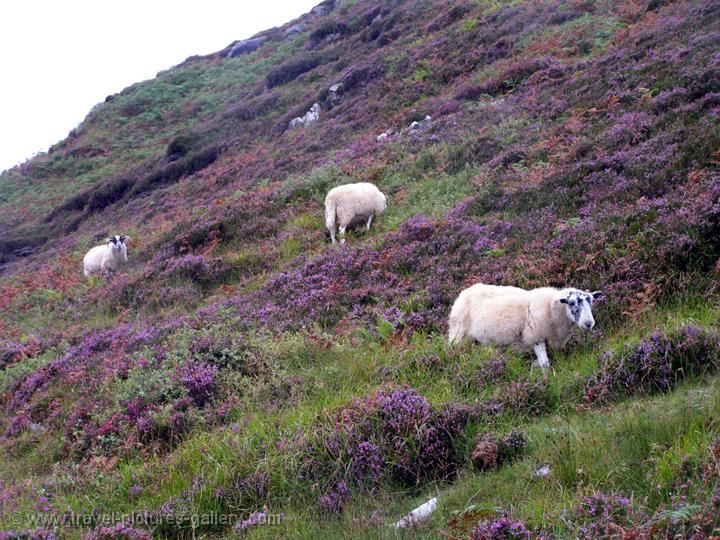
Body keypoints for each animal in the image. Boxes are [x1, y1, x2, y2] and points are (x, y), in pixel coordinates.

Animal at [448, 282, 604, 372]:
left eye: (591, 301)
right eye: (571, 303)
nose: (589, 323)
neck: (551, 309)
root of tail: (463, 293)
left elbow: (539, 362)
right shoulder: (535, 336)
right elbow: (545, 363)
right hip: (459, 336)